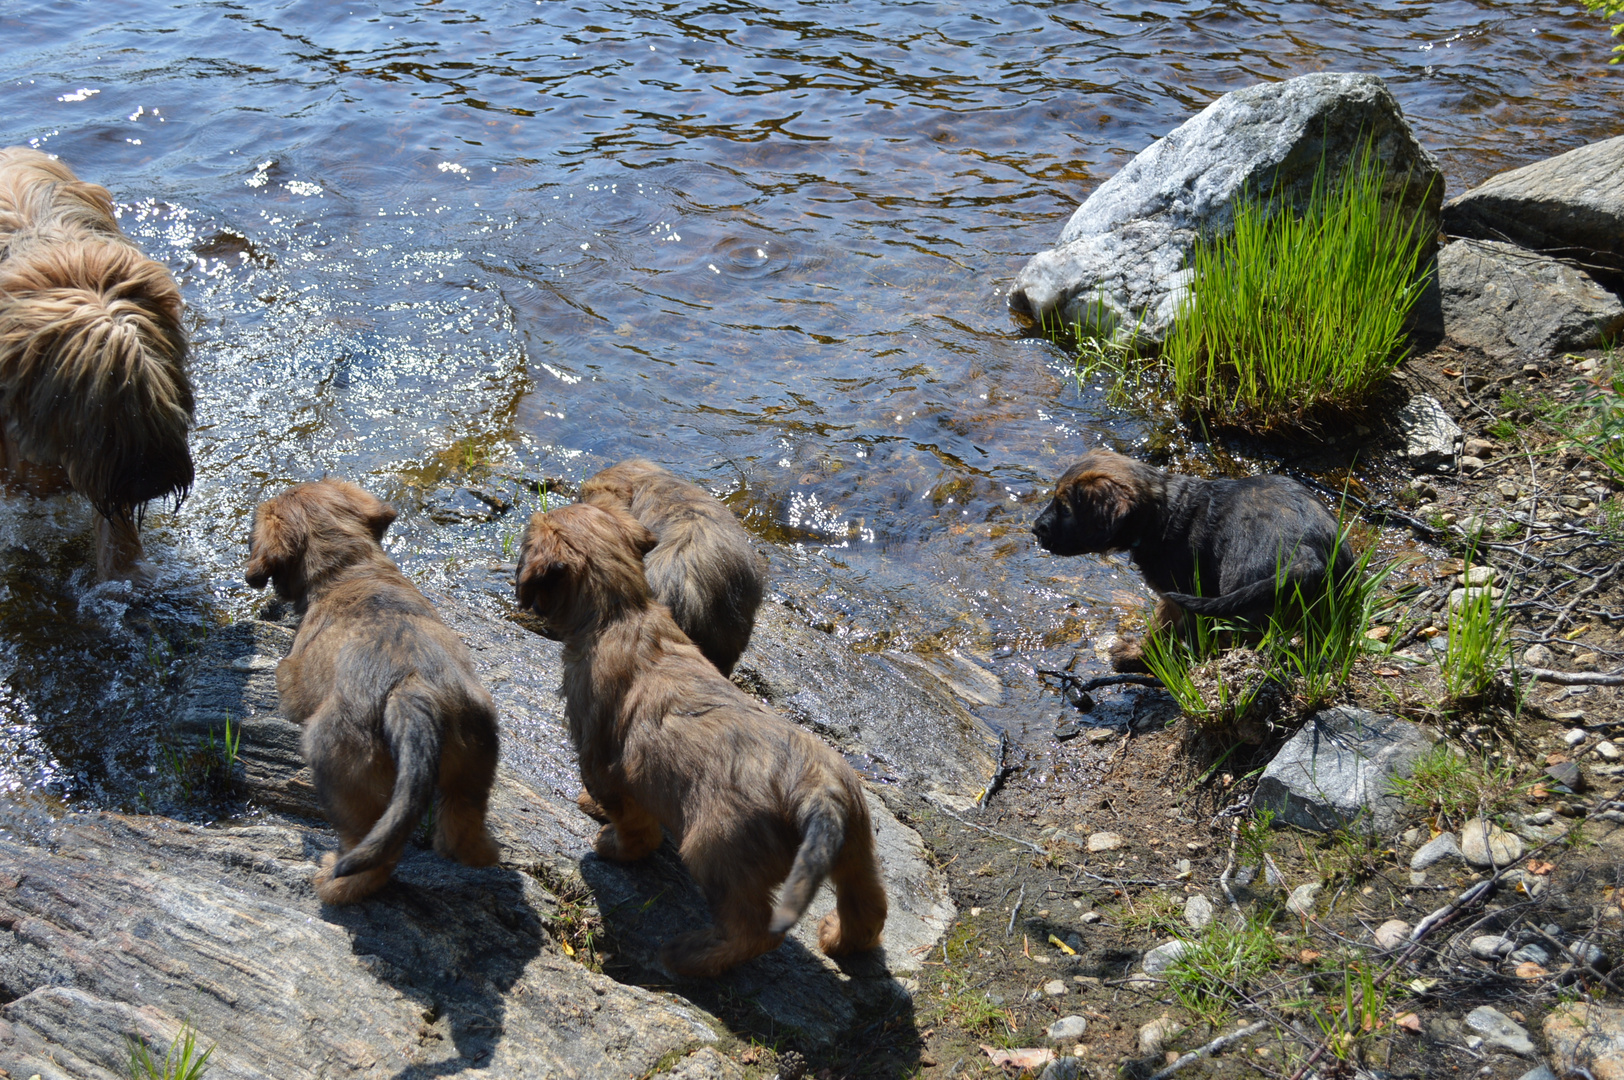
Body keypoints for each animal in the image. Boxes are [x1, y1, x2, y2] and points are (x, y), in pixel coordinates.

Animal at [243, 480, 496, 902]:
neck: (347, 570)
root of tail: (412, 691)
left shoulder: (293, 683)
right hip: (474, 763)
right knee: (460, 833)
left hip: (343, 774)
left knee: (374, 854)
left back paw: (334, 883)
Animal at [513, 500, 883, 974]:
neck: (622, 612)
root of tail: (820, 794)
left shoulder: (601, 761)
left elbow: (634, 825)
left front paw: (610, 840)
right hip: (856, 845)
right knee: (868, 908)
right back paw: (837, 940)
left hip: (716, 850)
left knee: (755, 931)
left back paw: (689, 956)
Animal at [1032, 444, 1351, 665]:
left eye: (1064, 509)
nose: (1034, 529)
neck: (1162, 514)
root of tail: (1306, 554)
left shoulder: (1176, 595)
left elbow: (1158, 629)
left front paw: (1134, 654)